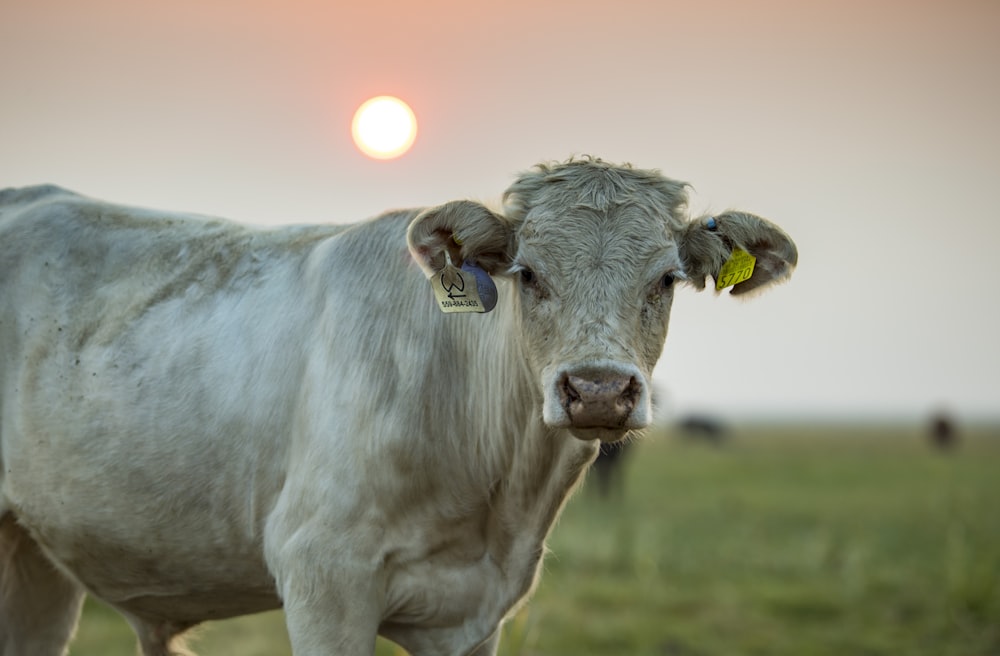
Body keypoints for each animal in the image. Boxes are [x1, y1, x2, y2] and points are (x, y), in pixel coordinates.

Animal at [0, 160, 796, 656]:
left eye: (665, 280)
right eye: (527, 274)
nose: (598, 388)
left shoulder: (474, 616)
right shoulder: (322, 576)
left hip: (37, 561)